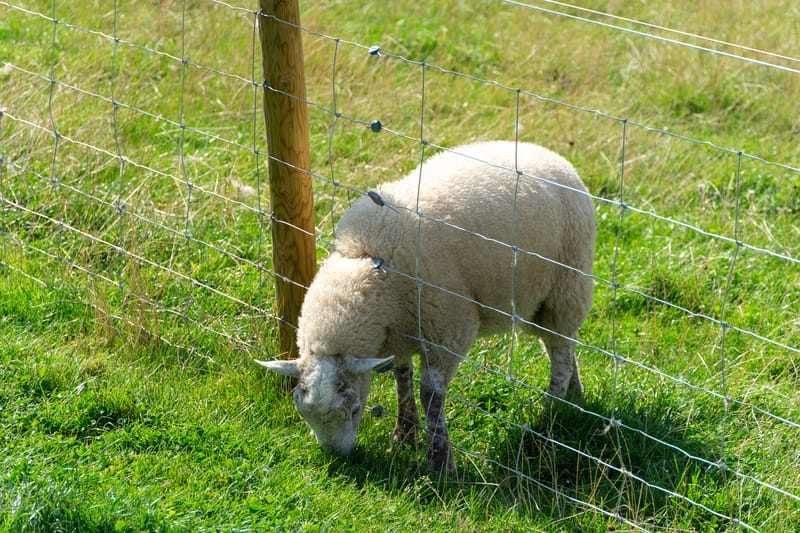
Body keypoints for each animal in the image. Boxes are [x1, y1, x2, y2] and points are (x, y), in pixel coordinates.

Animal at [257, 140, 596, 475]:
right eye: (304, 415)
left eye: (355, 410)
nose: (338, 459)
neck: (370, 263)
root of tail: (546, 153)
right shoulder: (400, 332)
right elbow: (402, 377)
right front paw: (405, 433)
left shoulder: (447, 329)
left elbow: (430, 396)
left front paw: (441, 463)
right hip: (537, 300)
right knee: (560, 344)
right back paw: (574, 397)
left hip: (567, 285)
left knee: (560, 353)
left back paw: (551, 411)